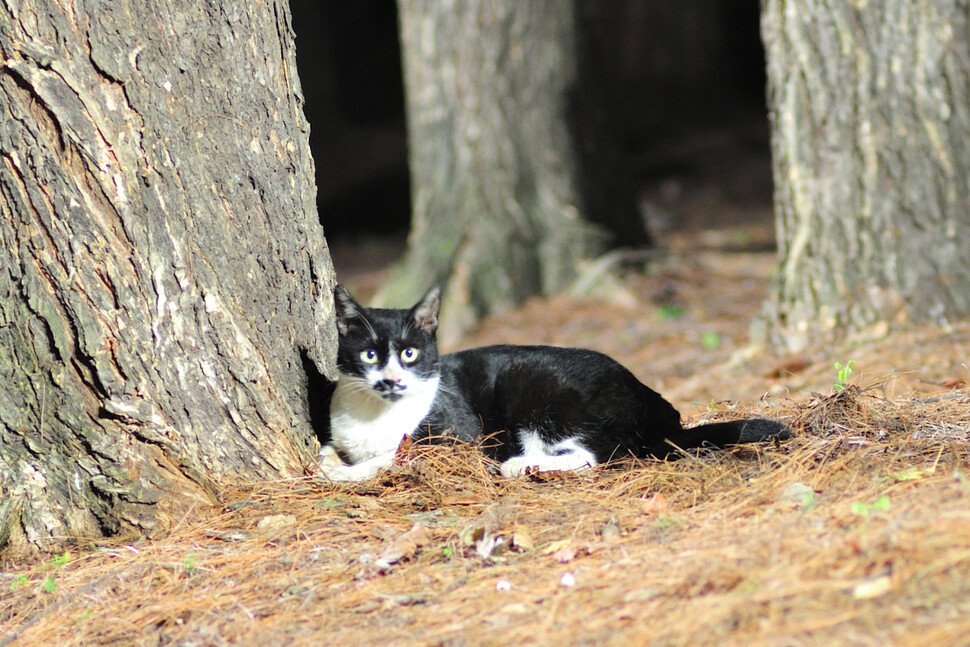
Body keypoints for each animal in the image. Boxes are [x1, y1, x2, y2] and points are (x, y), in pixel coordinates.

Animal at [318, 286, 788, 484]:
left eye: (410, 354)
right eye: (370, 355)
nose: (391, 379)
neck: (375, 415)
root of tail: (661, 409)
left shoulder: (458, 437)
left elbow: (395, 455)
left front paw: (343, 472)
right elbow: (338, 447)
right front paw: (328, 459)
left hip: (543, 393)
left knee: (600, 454)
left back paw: (520, 465)